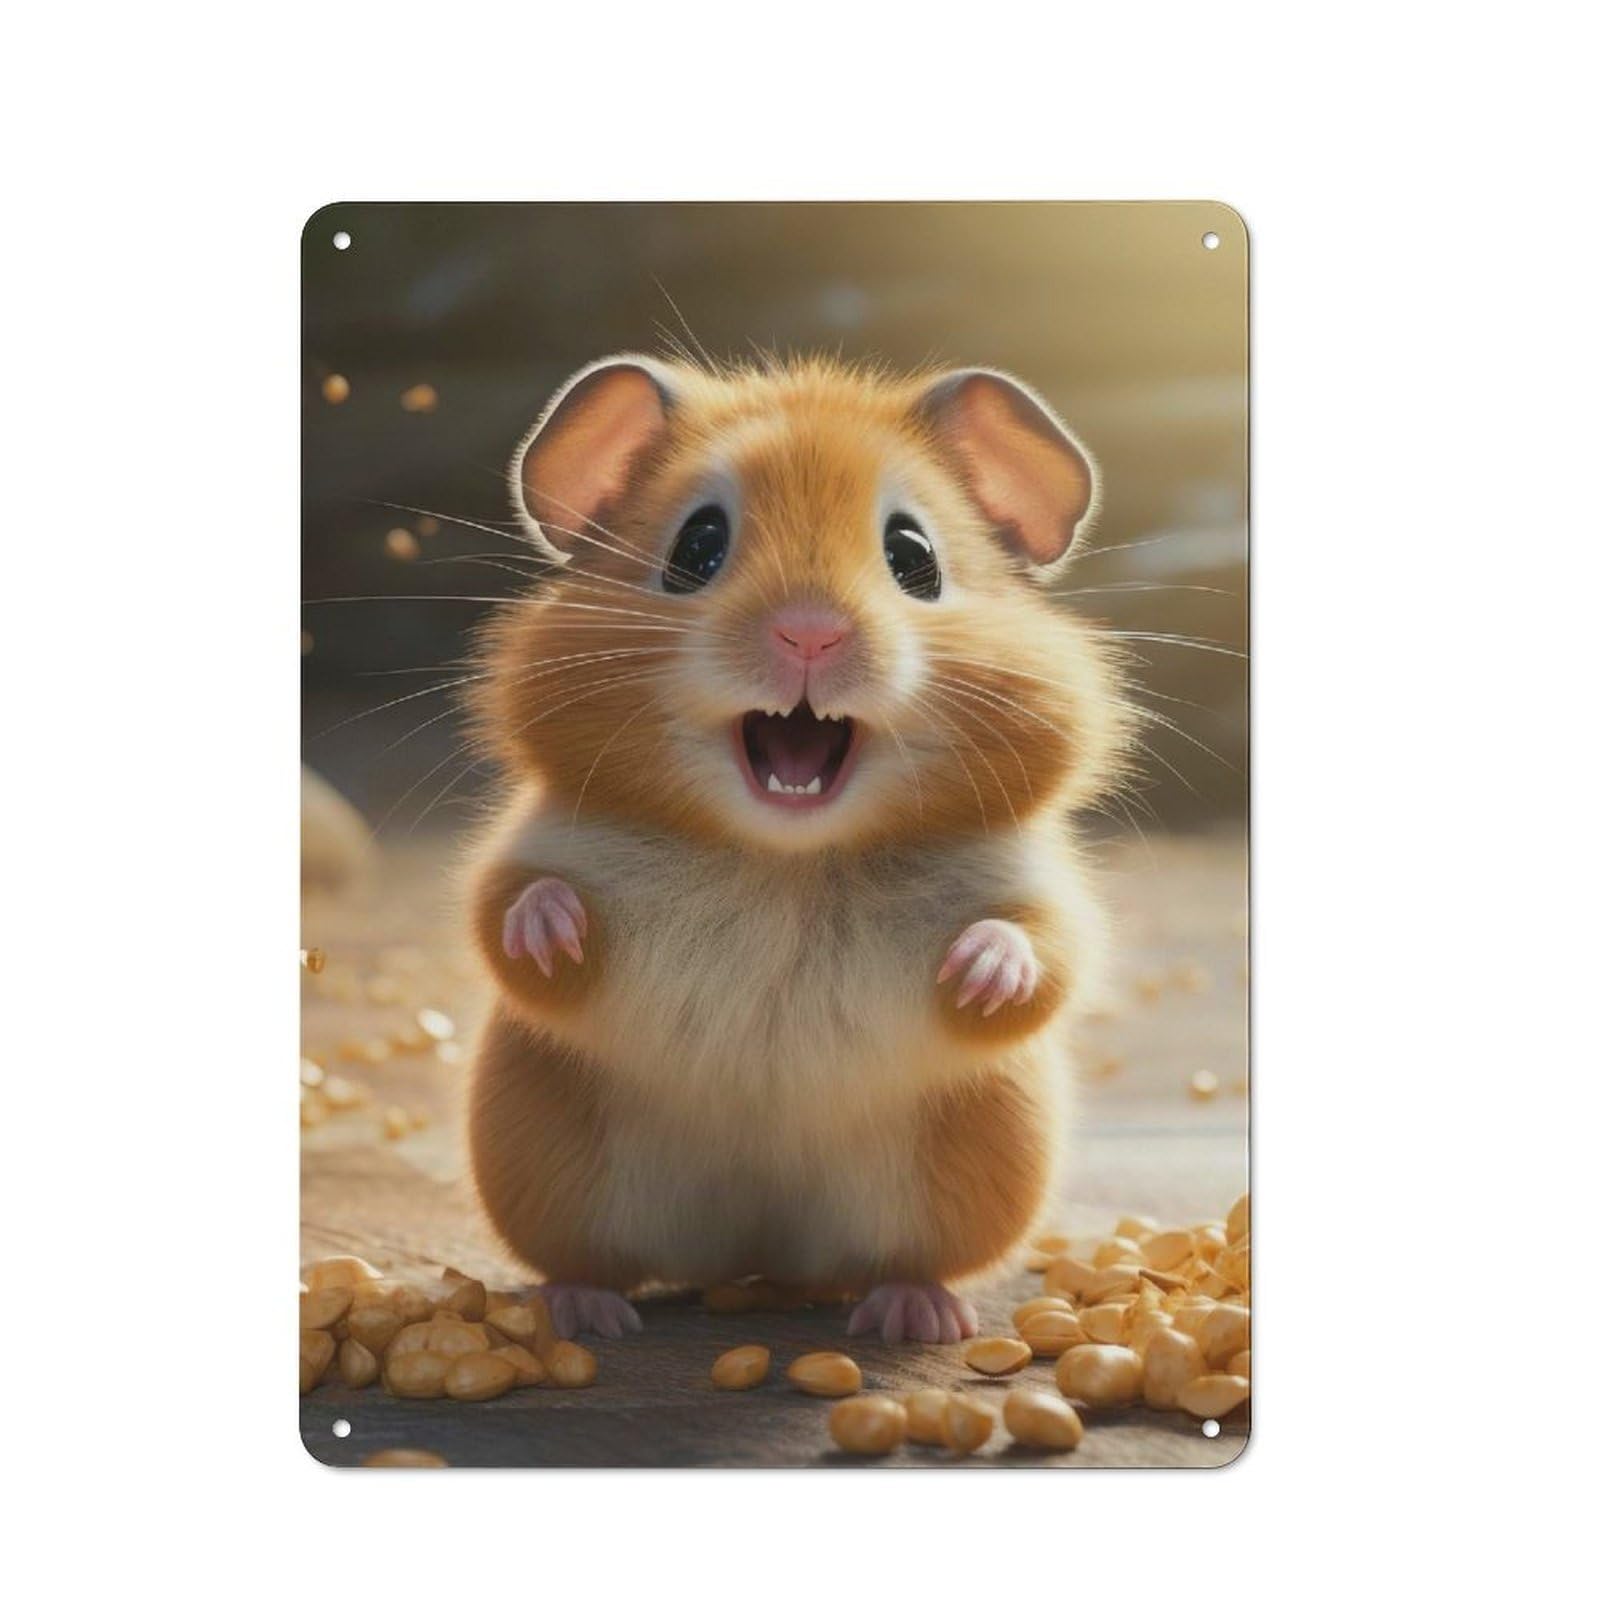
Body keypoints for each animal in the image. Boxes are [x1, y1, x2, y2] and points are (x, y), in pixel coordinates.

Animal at [464, 353, 1129, 1342]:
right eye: (695, 549)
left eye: (914, 559)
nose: (810, 631)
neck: (788, 861)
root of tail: (754, 1261)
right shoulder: (531, 847)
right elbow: (511, 913)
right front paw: (551, 928)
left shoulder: (1041, 886)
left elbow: (1040, 948)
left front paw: (981, 970)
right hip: (546, 1157)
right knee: (588, 1263)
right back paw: (585, 1313)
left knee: (905, 1263)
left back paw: (917, 1315)